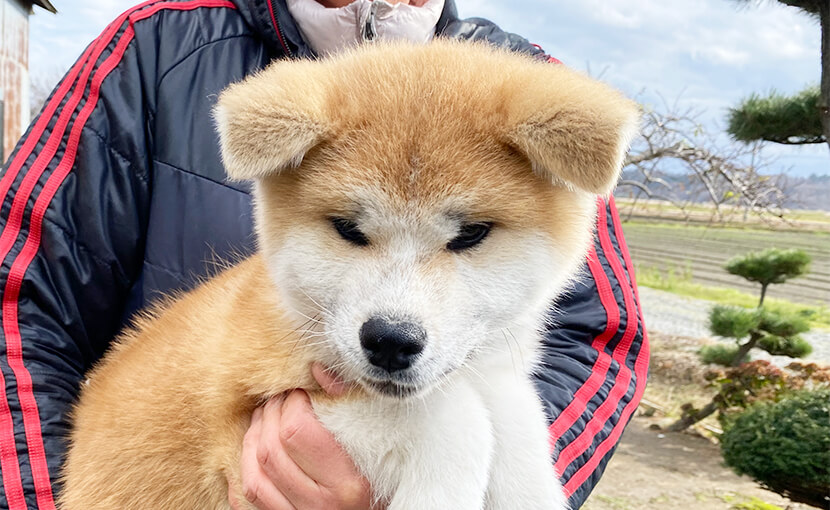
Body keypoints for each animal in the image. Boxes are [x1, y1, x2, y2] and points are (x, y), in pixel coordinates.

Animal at [61, 40, 640, 510]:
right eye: (348, 229)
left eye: (471, 234)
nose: (389, 340)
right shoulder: (242, 418)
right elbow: (455, 420)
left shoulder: (494, 378)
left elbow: (519, 423)